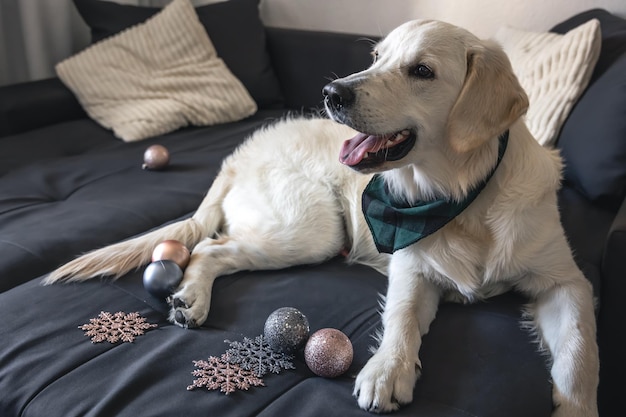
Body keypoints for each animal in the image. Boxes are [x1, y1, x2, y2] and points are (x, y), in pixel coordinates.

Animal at [46, 19, 596, 416]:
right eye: (376, 58)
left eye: (422, 71)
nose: (333, 92)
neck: (460, 197)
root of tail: (238, 155)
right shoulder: (410, 266)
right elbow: (400, 317)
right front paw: (386, 370)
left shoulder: (566, 281)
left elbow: (578, 353)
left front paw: (577, 409)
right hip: (312, 231)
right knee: (209, 246)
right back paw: (191, 297)